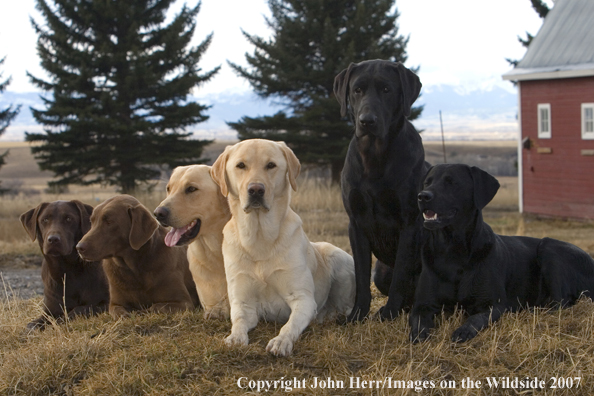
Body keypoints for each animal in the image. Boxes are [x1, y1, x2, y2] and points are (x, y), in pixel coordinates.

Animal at [212, 138, 354, 356]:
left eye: (271, 165)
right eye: (241, 165)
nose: (256, 190)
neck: (260, 238)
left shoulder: (303, 299)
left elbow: (289, 325)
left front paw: (281, 341)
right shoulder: (243, 303)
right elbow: (239, 322)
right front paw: (235, 338)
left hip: (338, 258)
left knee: (345, 306)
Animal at [332, 61, 426, 322]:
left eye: (386, 89)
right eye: (357, 90)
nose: (367, 121)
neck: (374, 157)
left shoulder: (409, 223)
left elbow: (401, 275)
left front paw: (389, 312)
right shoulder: (355, 223)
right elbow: (361, 276)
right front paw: (357, 314)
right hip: (381, 272)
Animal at [408, 164, 592, 344]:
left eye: (451, 182)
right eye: (427, 183)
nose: (422, 196)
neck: (452, 250)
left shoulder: (493, 305)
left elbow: (476, 319)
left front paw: (463, 331)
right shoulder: (422, 305)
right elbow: (418, 321)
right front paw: (419, 334)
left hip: (549, 249)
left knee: (560, 303)